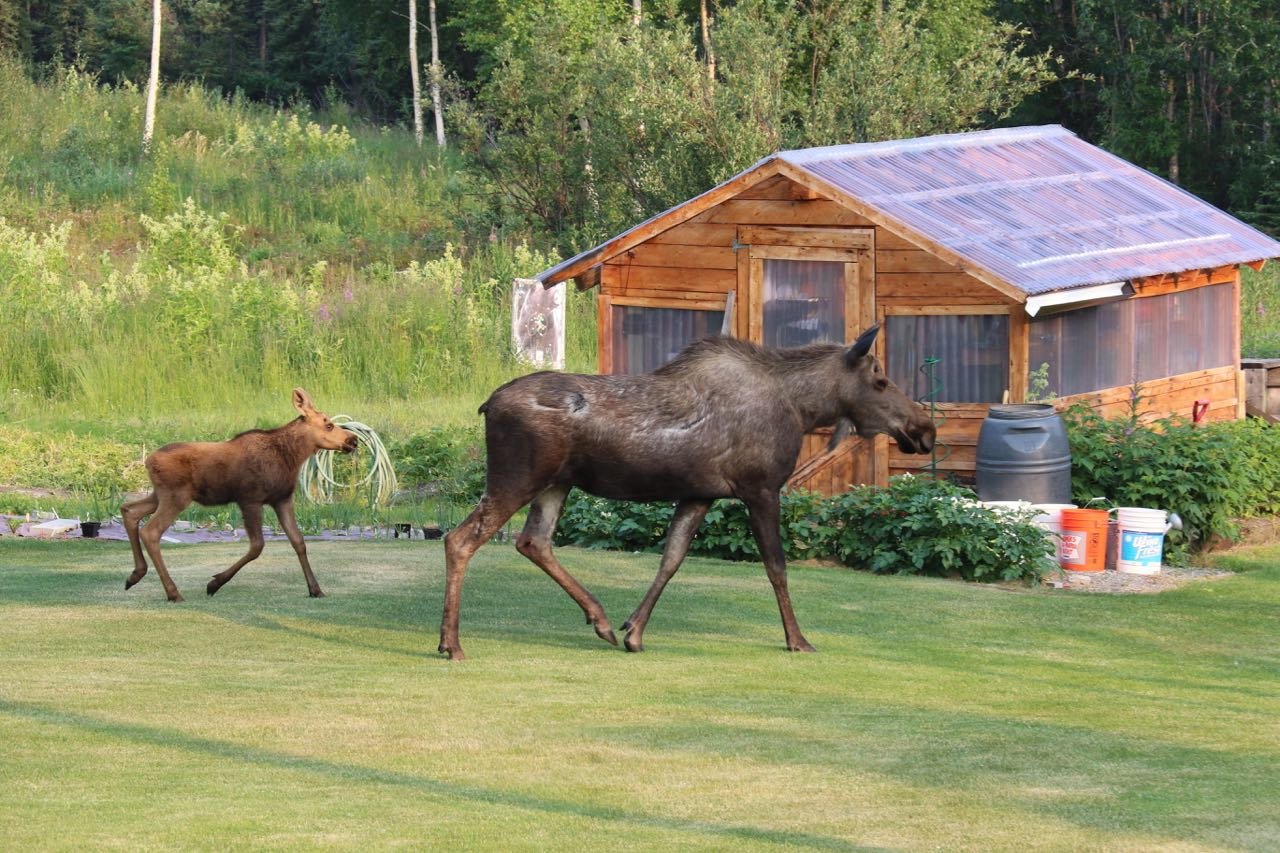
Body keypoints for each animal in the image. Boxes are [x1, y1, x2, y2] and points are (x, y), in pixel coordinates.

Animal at [121, 389, 358, 601]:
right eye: (328, 424)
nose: (353, 440)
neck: (291, 458)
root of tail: (148, 461)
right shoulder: (250, 499)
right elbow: (257, 546)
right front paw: (214, 583)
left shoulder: (281, 499)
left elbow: (299, 541)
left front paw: (315, 589)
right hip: (176, 496)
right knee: (150, 531)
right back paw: (173, 592)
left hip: (160, 495)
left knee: (129, 510)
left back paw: (135, 575)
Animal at [442, 325, 942, 655]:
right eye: (880, 380)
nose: (926, 429)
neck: (803, 409)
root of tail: (486, 405)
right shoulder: (760, 487)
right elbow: (777, 567)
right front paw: (797, 639)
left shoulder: (701, 493)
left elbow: (672, 558)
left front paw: (634, 630)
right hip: (518, 476)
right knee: (460, 539)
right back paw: (451, 643)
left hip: (555, 483)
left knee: (534, 541)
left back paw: (600, 621)